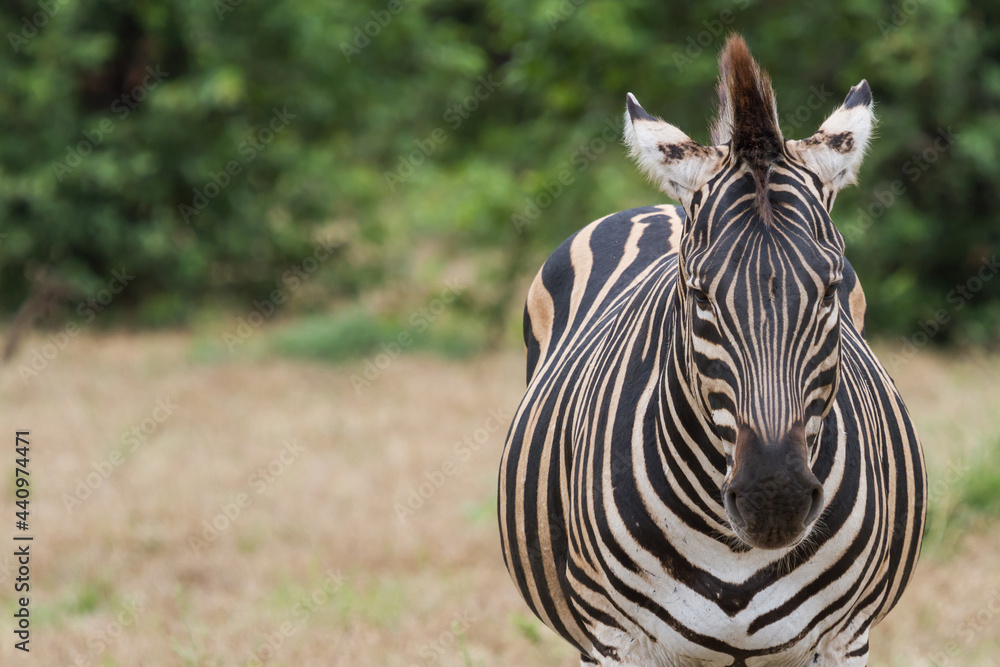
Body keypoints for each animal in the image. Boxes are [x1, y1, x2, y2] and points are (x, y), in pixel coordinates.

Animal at [498, 35, 925, 666]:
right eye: (700, 294)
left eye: (829, 290)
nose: (774, 499)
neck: (737, 554)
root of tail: (662, 207)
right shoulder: (613, 641)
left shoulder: (846, 640)